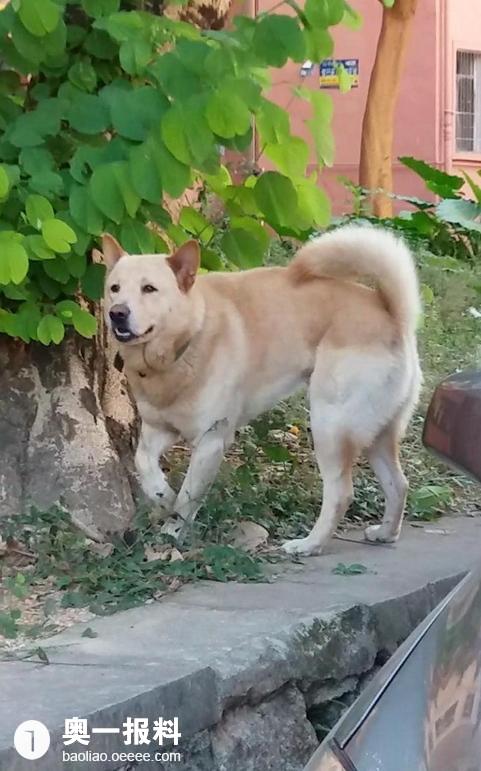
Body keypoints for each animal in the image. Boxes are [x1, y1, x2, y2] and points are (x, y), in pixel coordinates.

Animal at [97, 223, 420, 556]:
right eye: (115, 288)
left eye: (149, 289)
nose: (117, 313)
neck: (189, 338)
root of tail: (393, 315)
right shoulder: (157, 430)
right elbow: (144, 464)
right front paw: (162, 497)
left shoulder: (211, 440)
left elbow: (187, 498)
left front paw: (171, 533)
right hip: (376, 434)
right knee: (398, 483)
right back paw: (386, 532)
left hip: (330, 426)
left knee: (341, 493)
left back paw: (309, 544)